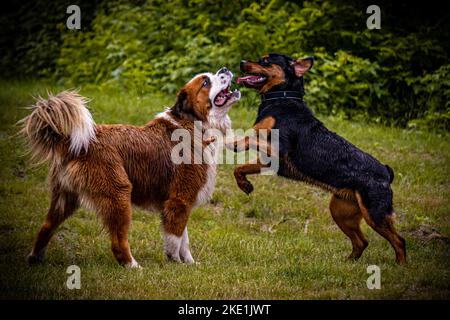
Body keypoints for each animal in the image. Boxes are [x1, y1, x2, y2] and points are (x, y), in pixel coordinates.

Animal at [22, 67, 239, 268]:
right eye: (205, 82)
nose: (225, 69)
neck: (192, 123)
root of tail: (73, 143)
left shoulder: (178, 202)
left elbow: (184, 240)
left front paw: (190, 264)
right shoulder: (179, 199)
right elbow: (175, 239)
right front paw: (175, 263)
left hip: (65, 198)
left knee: (46, 227)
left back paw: (35, 258)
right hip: (119, 195)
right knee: (118, 242)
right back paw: (133, 266)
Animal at [234, 52, 406, 262]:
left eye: (265, 61)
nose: (242, 62)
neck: (281, 99)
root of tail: (386, 172)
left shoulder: (278, 150)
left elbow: (251, 136)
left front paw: (236, 144)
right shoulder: (270, 161)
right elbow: (239, 166)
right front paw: (244, 182)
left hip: (375, 213)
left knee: (399, 241)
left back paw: (400, 266)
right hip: (341, 211)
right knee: (362, 241)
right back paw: (348, 262)